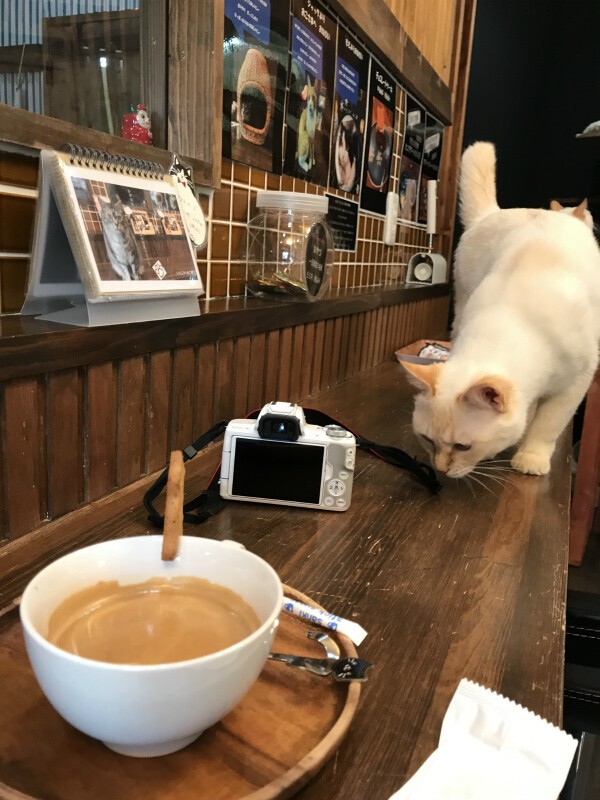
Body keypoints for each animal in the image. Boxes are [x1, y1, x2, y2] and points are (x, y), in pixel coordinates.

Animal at [404, 140, 600, 476]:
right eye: (427, 440)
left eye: (463, 446)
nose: (440, 470)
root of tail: (493, 213)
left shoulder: (577, 383)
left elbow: (548, 425)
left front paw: (530, 457)